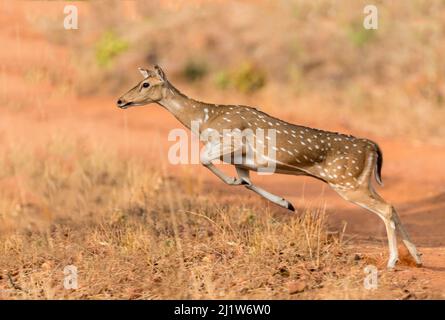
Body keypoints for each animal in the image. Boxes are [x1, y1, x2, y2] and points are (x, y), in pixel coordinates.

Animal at [116, 64, 422, 268]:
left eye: (145, 84)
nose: (120, 100)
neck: (203, 120)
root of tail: (373, 147)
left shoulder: (230, 141)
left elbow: (204, 159)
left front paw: (285, 202)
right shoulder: (240, 159)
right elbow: (244, 180)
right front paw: (286, 202)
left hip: (346, 183)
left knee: (386, 208)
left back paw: (393, 261)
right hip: (360, 181)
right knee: (392, 206)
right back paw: (417, 257)